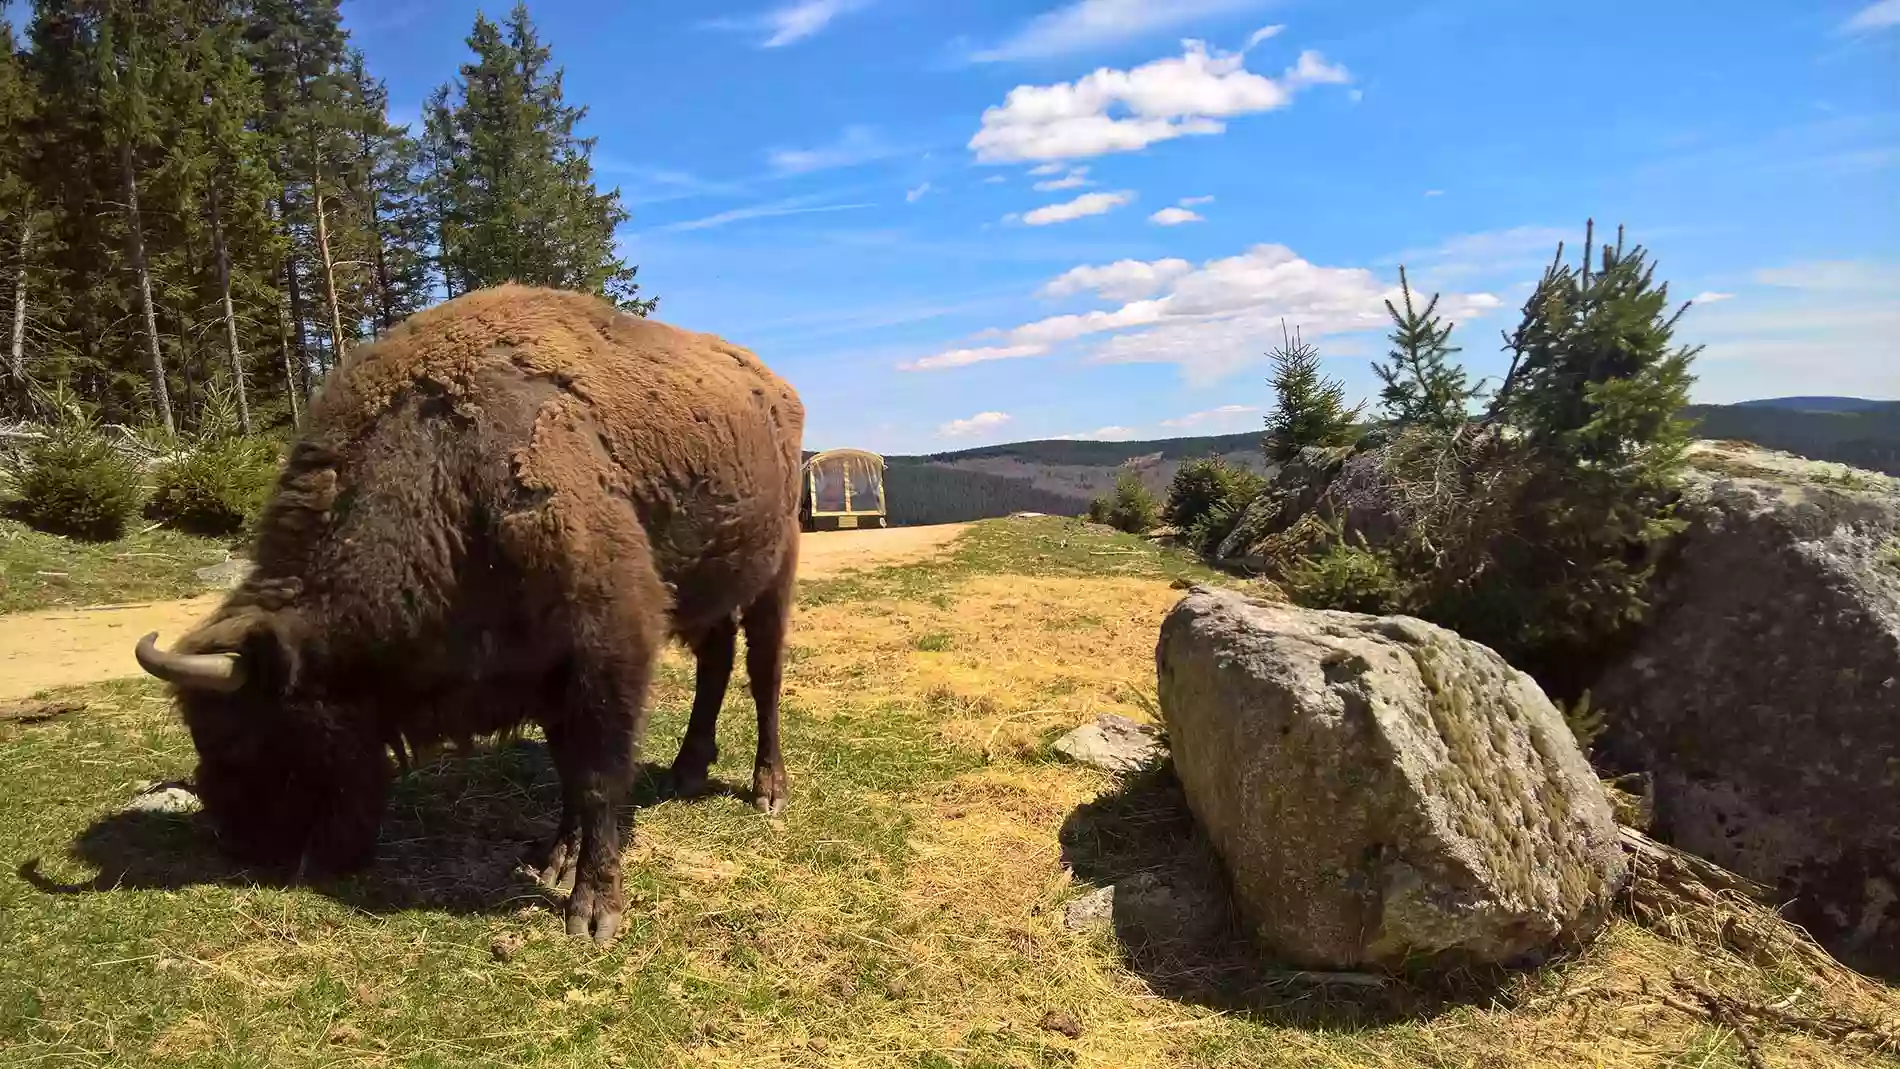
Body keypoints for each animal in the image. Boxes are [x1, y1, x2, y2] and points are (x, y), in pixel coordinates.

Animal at [132, 284, 801, 945]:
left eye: (243, 735)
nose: (235, 841)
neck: (439, 476)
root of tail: (777, 389)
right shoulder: (547, 671)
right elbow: (569, 771)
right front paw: (556, 860)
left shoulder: (609, 648)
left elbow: (597, 775)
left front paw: (593, 911)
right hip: (710, 591)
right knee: (716, 661)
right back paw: (687, 773)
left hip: (775, 571)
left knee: (763, 674)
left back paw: (767, 791)